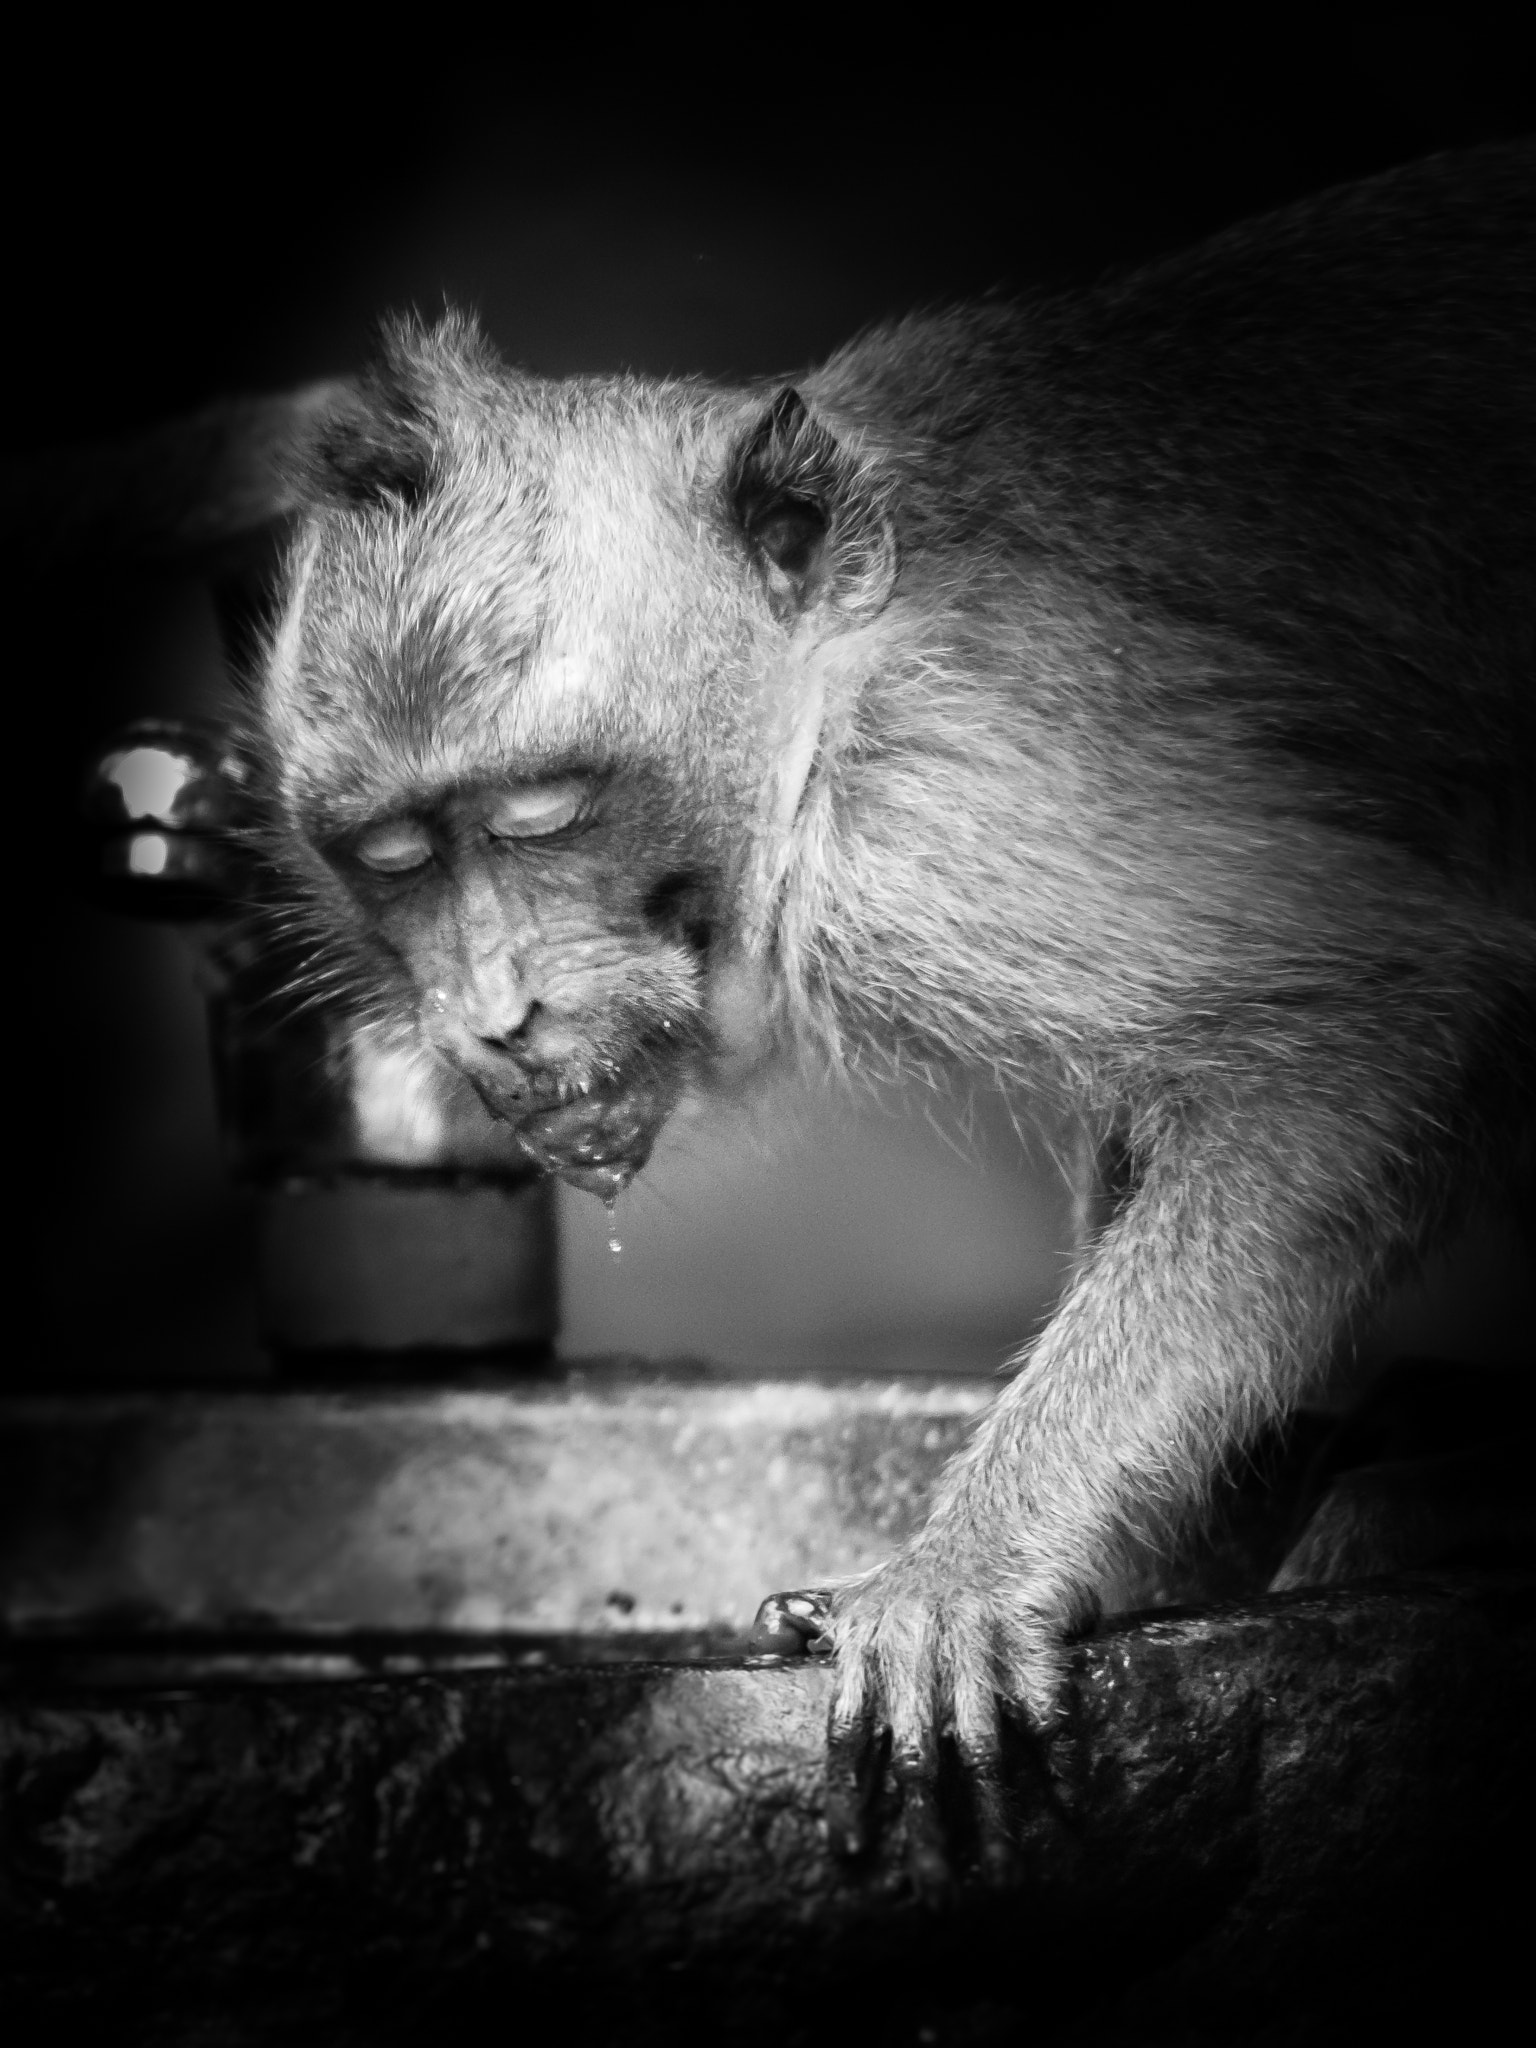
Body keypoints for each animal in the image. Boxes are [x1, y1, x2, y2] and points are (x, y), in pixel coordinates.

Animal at [252, 141, 1535, 1883]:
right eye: (394, 856)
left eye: (536, 817)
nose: (493, 1012)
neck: (836, 655)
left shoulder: (935, 811)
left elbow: (1364, 1023)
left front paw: (969, 1569)